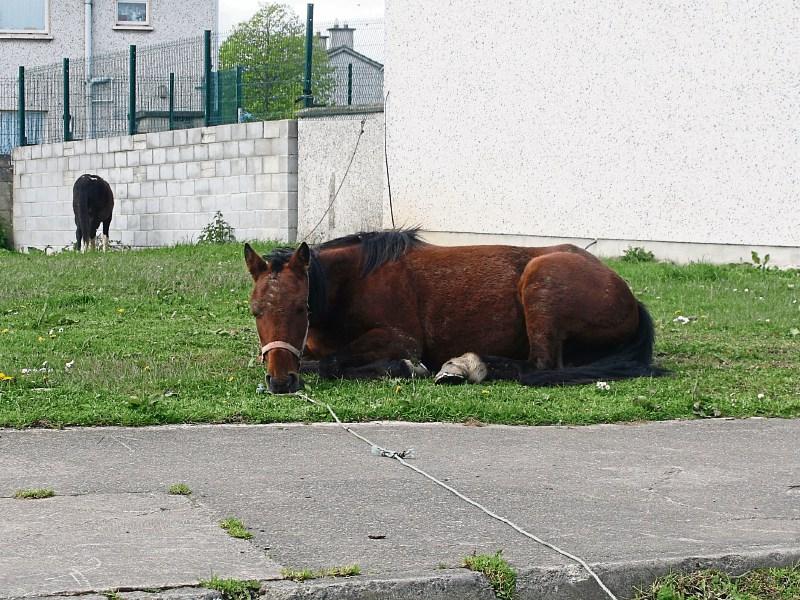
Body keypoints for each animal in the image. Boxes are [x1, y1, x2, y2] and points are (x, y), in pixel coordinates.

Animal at [244, 229, 666, 394]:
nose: (281, 382)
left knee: (539, 366)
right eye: (255, 311)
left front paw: (406, 368)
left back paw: (466, 365)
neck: (352, 281)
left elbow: (336, 363)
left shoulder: (401, 339)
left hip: (541, 282)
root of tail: (629, 297)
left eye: (302, 307)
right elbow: (320, 360)